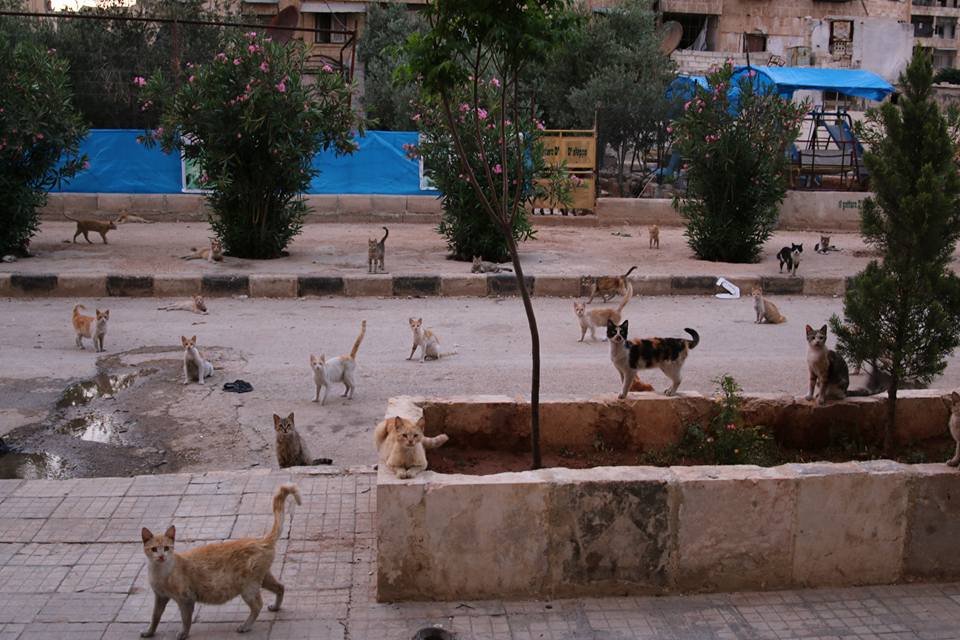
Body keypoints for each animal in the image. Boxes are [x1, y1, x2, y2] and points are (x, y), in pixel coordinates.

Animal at [139, 484, 300, 640]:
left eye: (166, 548)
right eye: (154, 549)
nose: (161, 556)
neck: (160, 572)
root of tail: (262, 540)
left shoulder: (186, 599)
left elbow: (186, 620)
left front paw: (183, 634)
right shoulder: (160, 597)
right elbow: (155, 617)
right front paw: (149, 632)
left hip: (248, 587)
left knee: (258, 605)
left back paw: (246, 626)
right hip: (263, 578)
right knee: (280, 587)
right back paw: (275, 607)